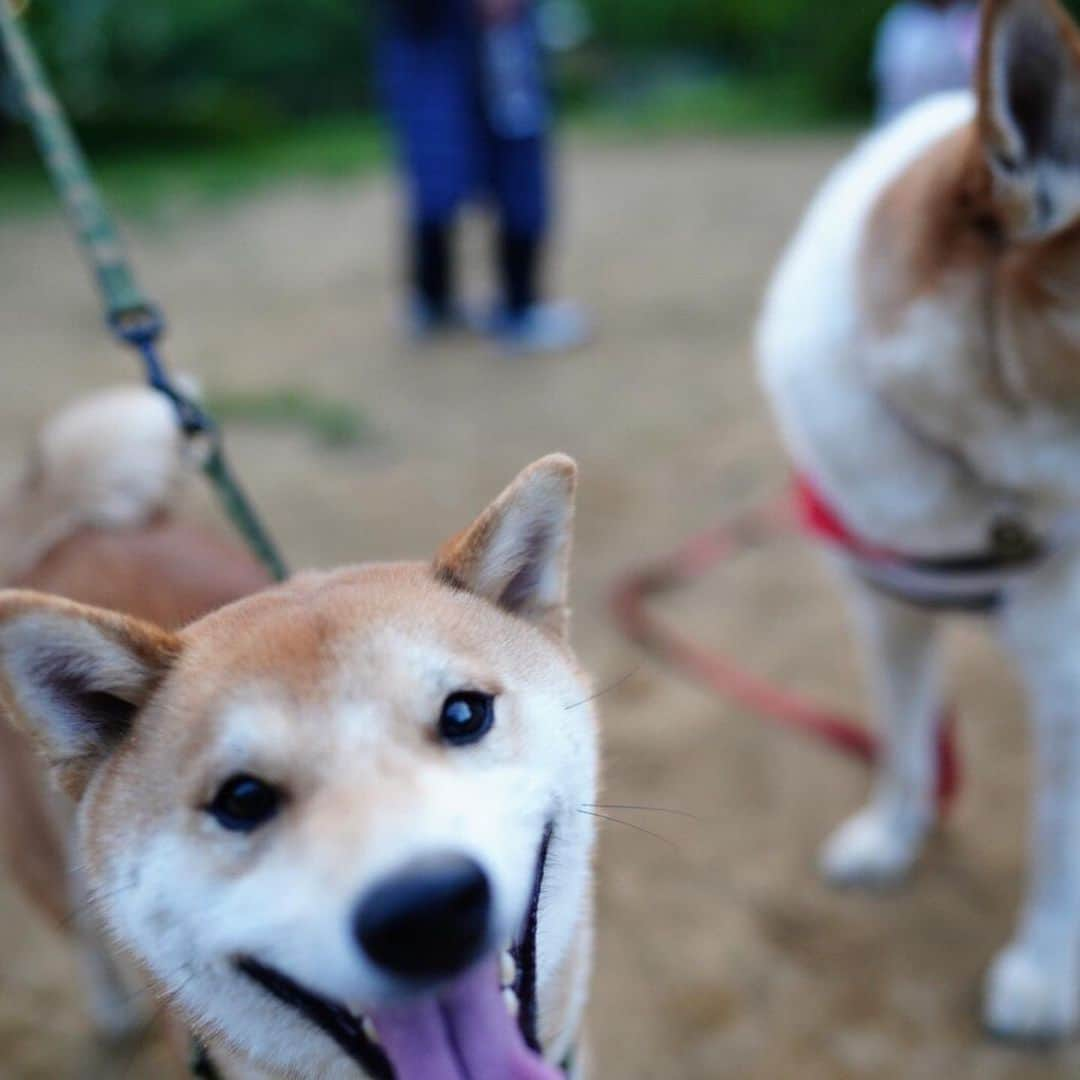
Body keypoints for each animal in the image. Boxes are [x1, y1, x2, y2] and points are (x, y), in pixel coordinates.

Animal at [760, 0, 1080, 1041]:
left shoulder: (1070, 681)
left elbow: (1056, 845)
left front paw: (1042, 973)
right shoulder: (887, 612)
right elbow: (904, 746)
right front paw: (889, 839)